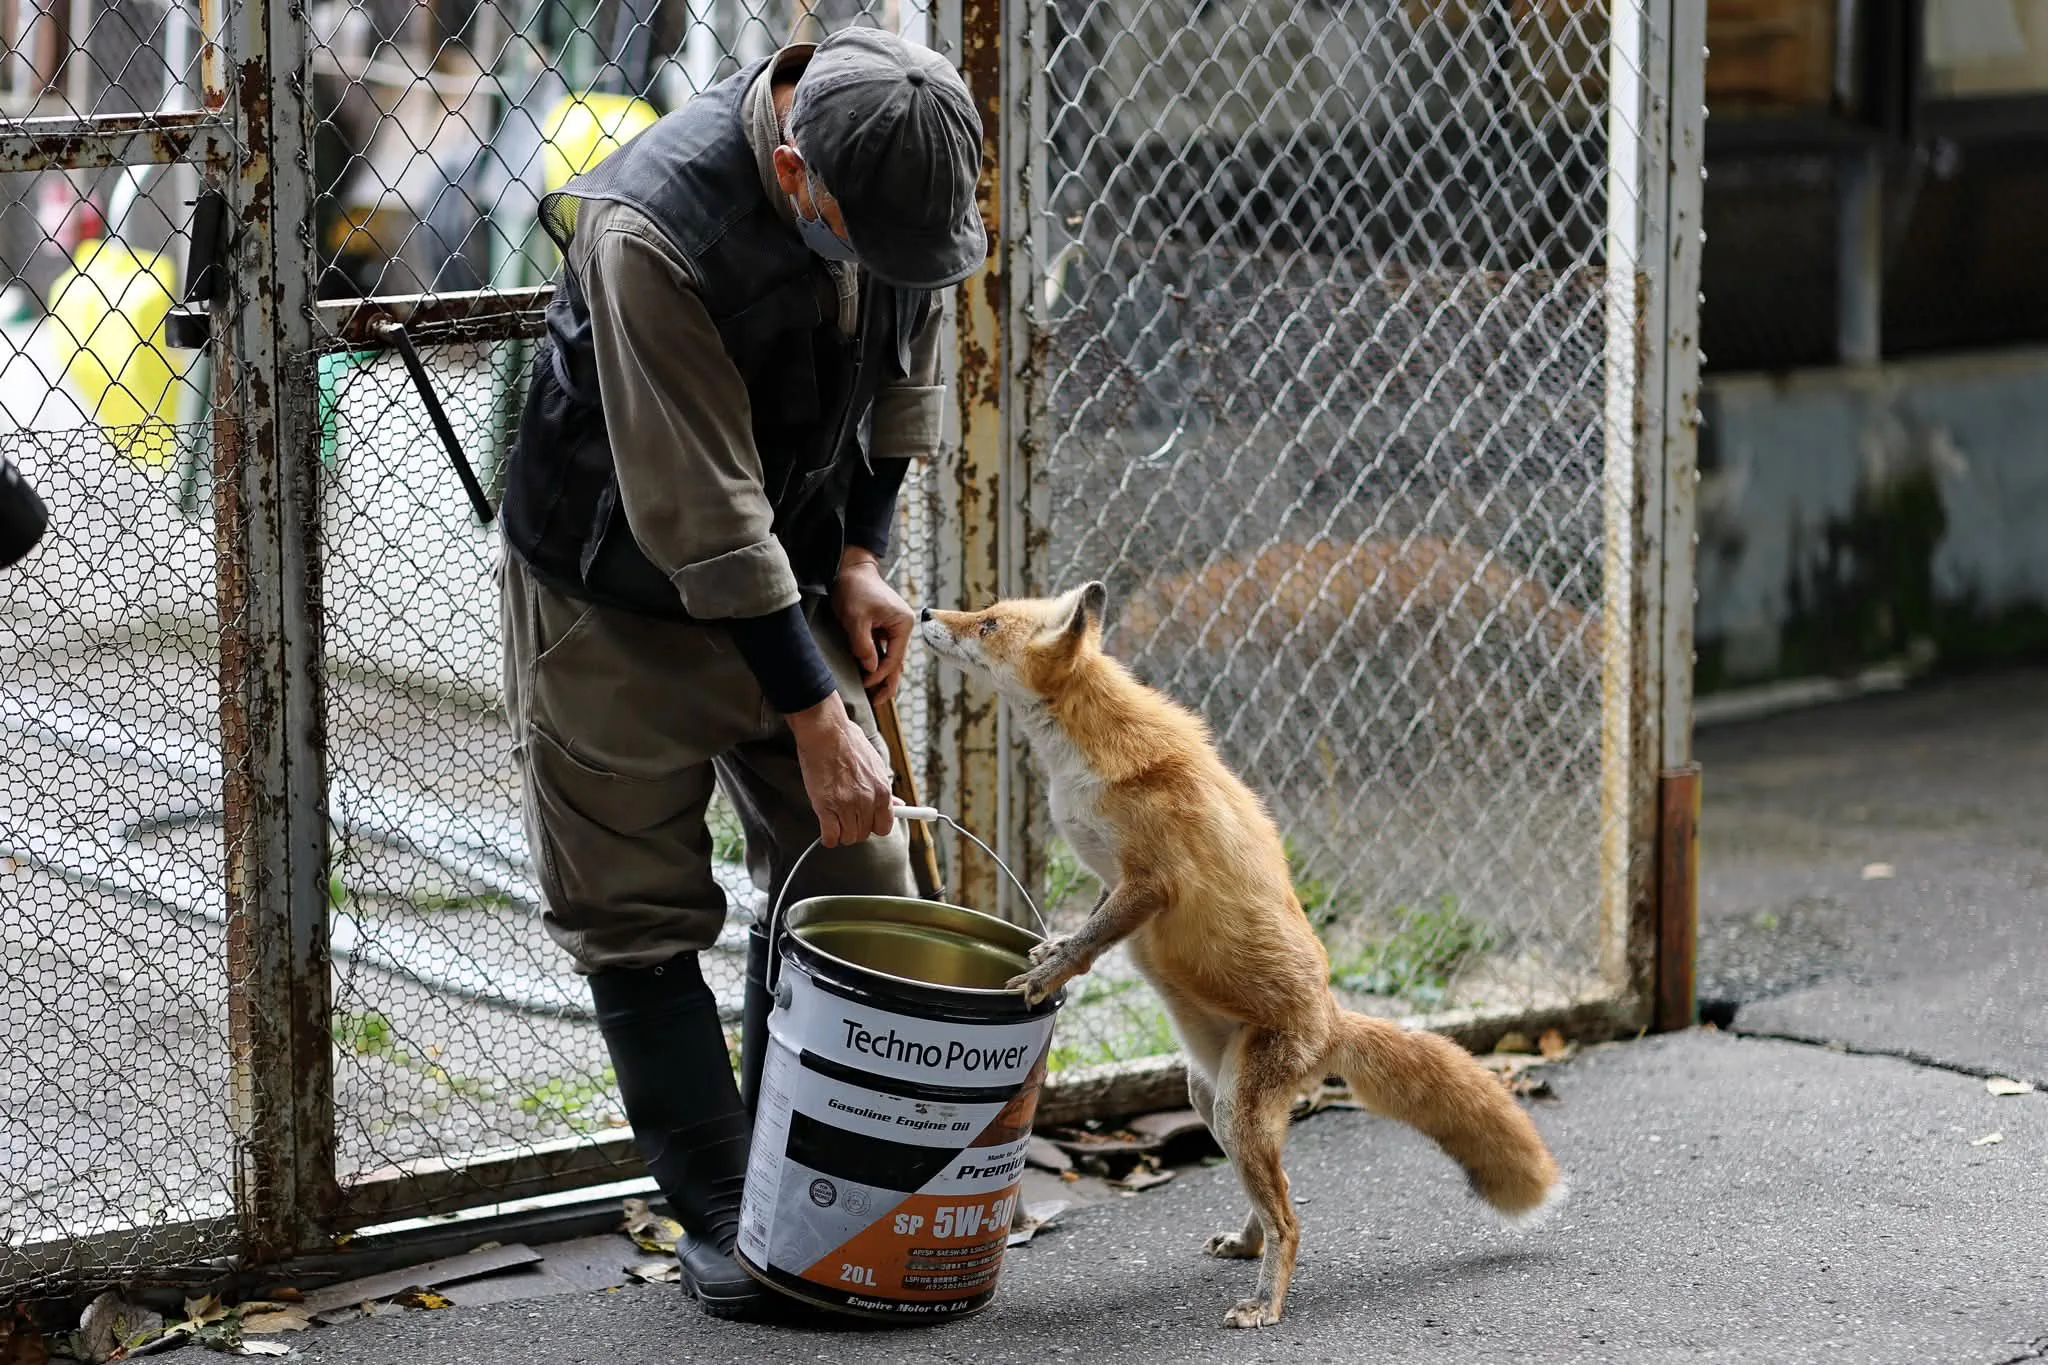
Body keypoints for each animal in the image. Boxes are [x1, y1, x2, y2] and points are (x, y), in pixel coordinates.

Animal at [917, 583, 1565, 1329]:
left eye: (988, 623)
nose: (926, 613)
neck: (1084, 755)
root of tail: (1333, 1018)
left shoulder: (1151, 882)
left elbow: (1092, 940)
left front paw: (1048, 973)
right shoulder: (1115, 880)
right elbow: (1087, 928)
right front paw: (1050, 950)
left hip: (1237, 1108)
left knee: (1291, 1218)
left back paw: (1266, 1301)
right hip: (1211, 1098)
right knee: (1269, 1190)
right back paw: (1247, 1242)